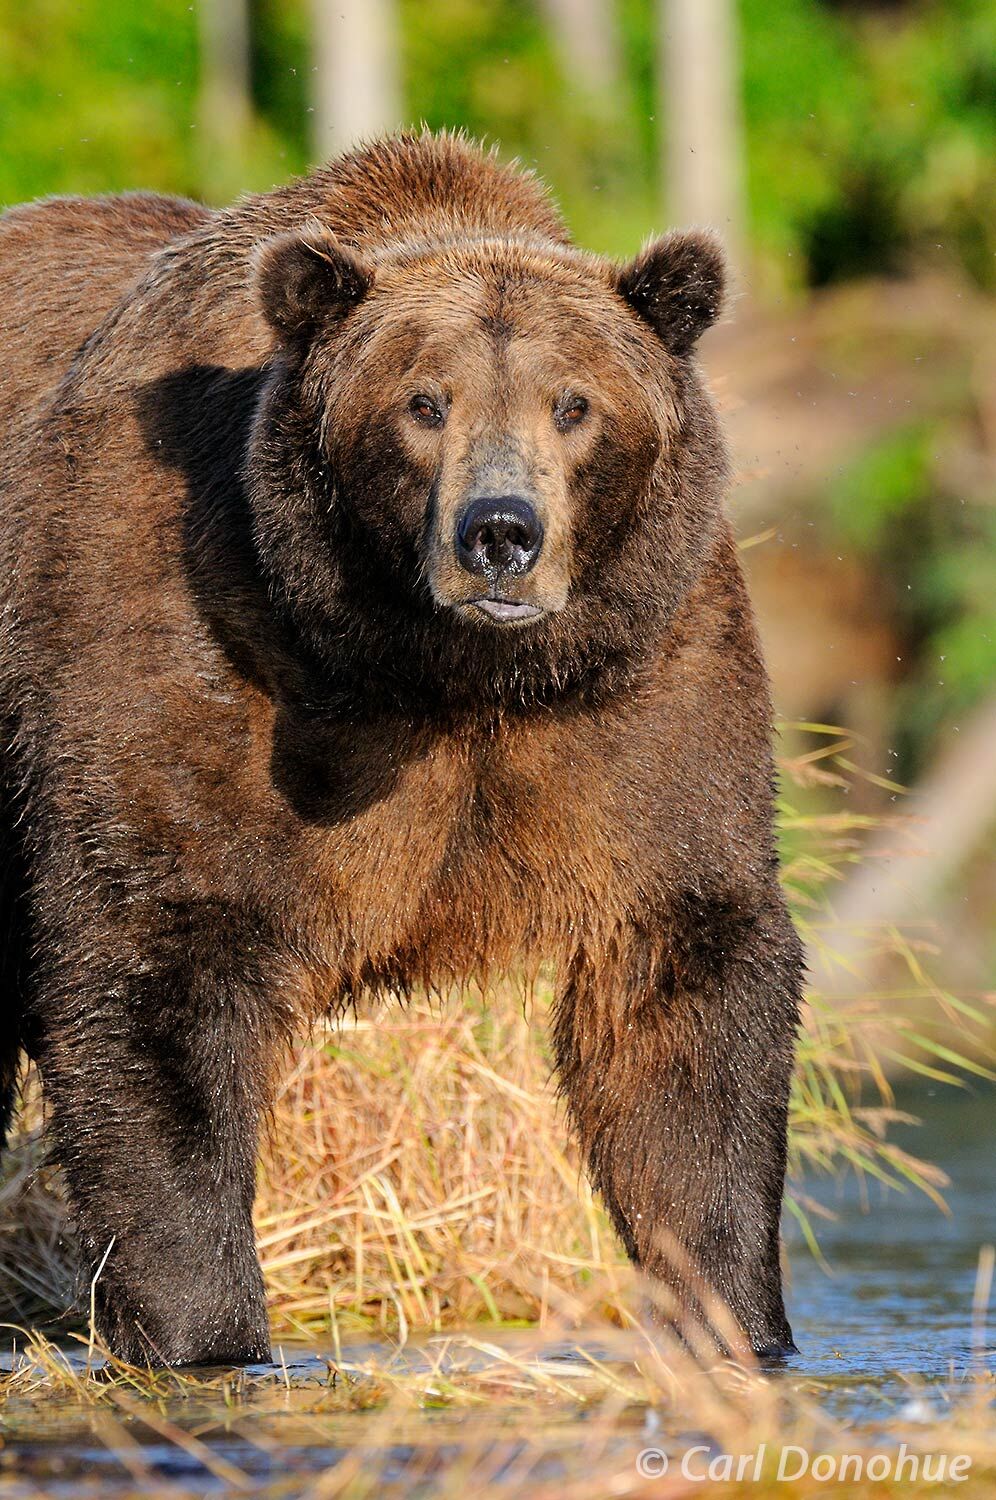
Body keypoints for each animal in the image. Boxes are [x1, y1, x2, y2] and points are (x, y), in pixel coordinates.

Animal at [0, 135, 804, 1368]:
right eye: (424, 402)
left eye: (574, 402)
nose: (501, 533)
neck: (440, 677)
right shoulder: (188, 651)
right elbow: (150, 968)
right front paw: (207, 1332)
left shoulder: (641, 687)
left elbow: (686, 988)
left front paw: (734, 1315)